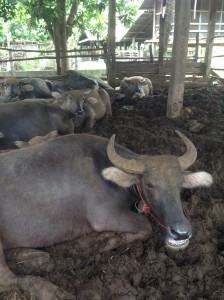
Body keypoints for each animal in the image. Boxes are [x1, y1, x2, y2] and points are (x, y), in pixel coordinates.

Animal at [0, 131, 212, 298]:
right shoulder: (104, 216)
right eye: (149, 184)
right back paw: (52, 290)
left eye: (180, 185)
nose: (181, 232)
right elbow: (145, 226)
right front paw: (99, 242)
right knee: (8, 279)